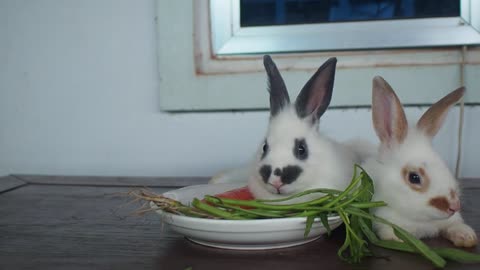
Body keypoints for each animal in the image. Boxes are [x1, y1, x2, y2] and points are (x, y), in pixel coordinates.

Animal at [364, 75, 476, 247]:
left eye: (445, 165)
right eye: (414, 177)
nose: (454, 206)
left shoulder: (451, 220)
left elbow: (455, 225)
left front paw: (466, 237)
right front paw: (398, 239)